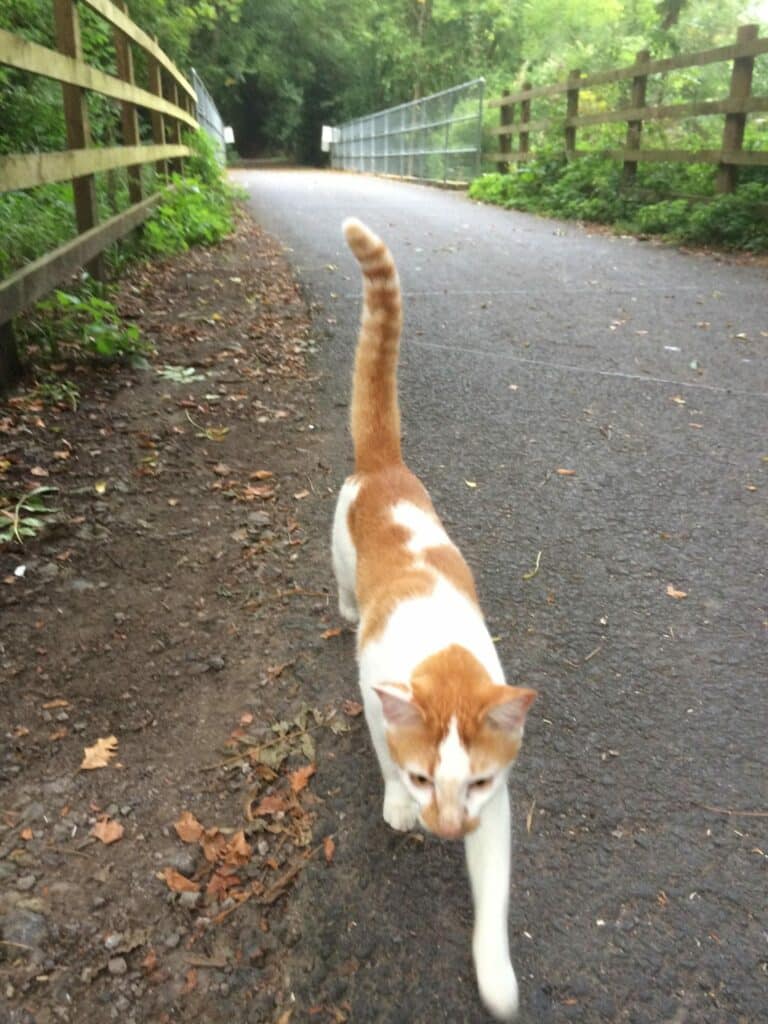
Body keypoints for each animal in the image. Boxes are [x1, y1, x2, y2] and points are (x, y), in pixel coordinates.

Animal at [331, 214, 540, 1015]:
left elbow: (495, 893)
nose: (447, 829)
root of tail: (385, 466)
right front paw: (395, 801)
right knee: (341, 585)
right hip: (337, 546)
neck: (444, 661)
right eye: (424, 780)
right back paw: (342, 600)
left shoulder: (499, 806)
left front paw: (495, 976)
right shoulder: (372, 689)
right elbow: (382, 748)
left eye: (473, 785)